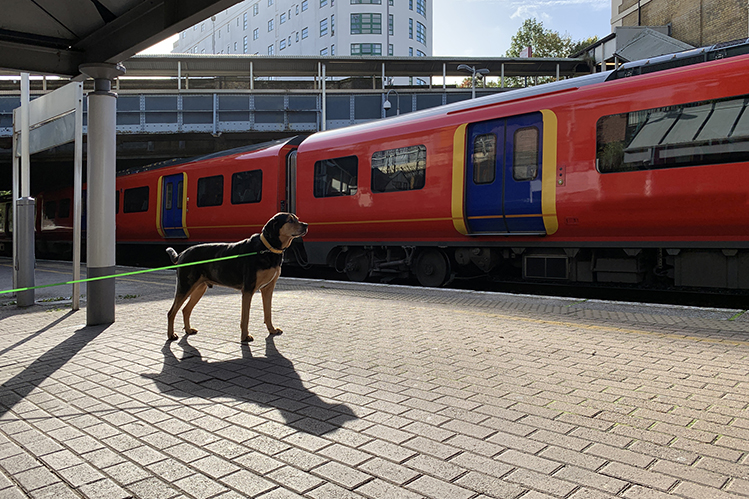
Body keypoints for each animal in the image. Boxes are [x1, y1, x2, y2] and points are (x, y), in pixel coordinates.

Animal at [166, 211, 306, 344]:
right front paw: (245, 336)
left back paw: (188, 330)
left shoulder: (268, 289)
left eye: (297, 218)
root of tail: (182, 253)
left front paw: (271, 330)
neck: (268, 248)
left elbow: (268, 312)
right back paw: (171, 335)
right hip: (185, 285)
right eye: (290, 220)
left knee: (185, 310)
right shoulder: (248, 290)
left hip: (199, 288)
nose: (306, 225)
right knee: (171, 312)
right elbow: (245, 317)